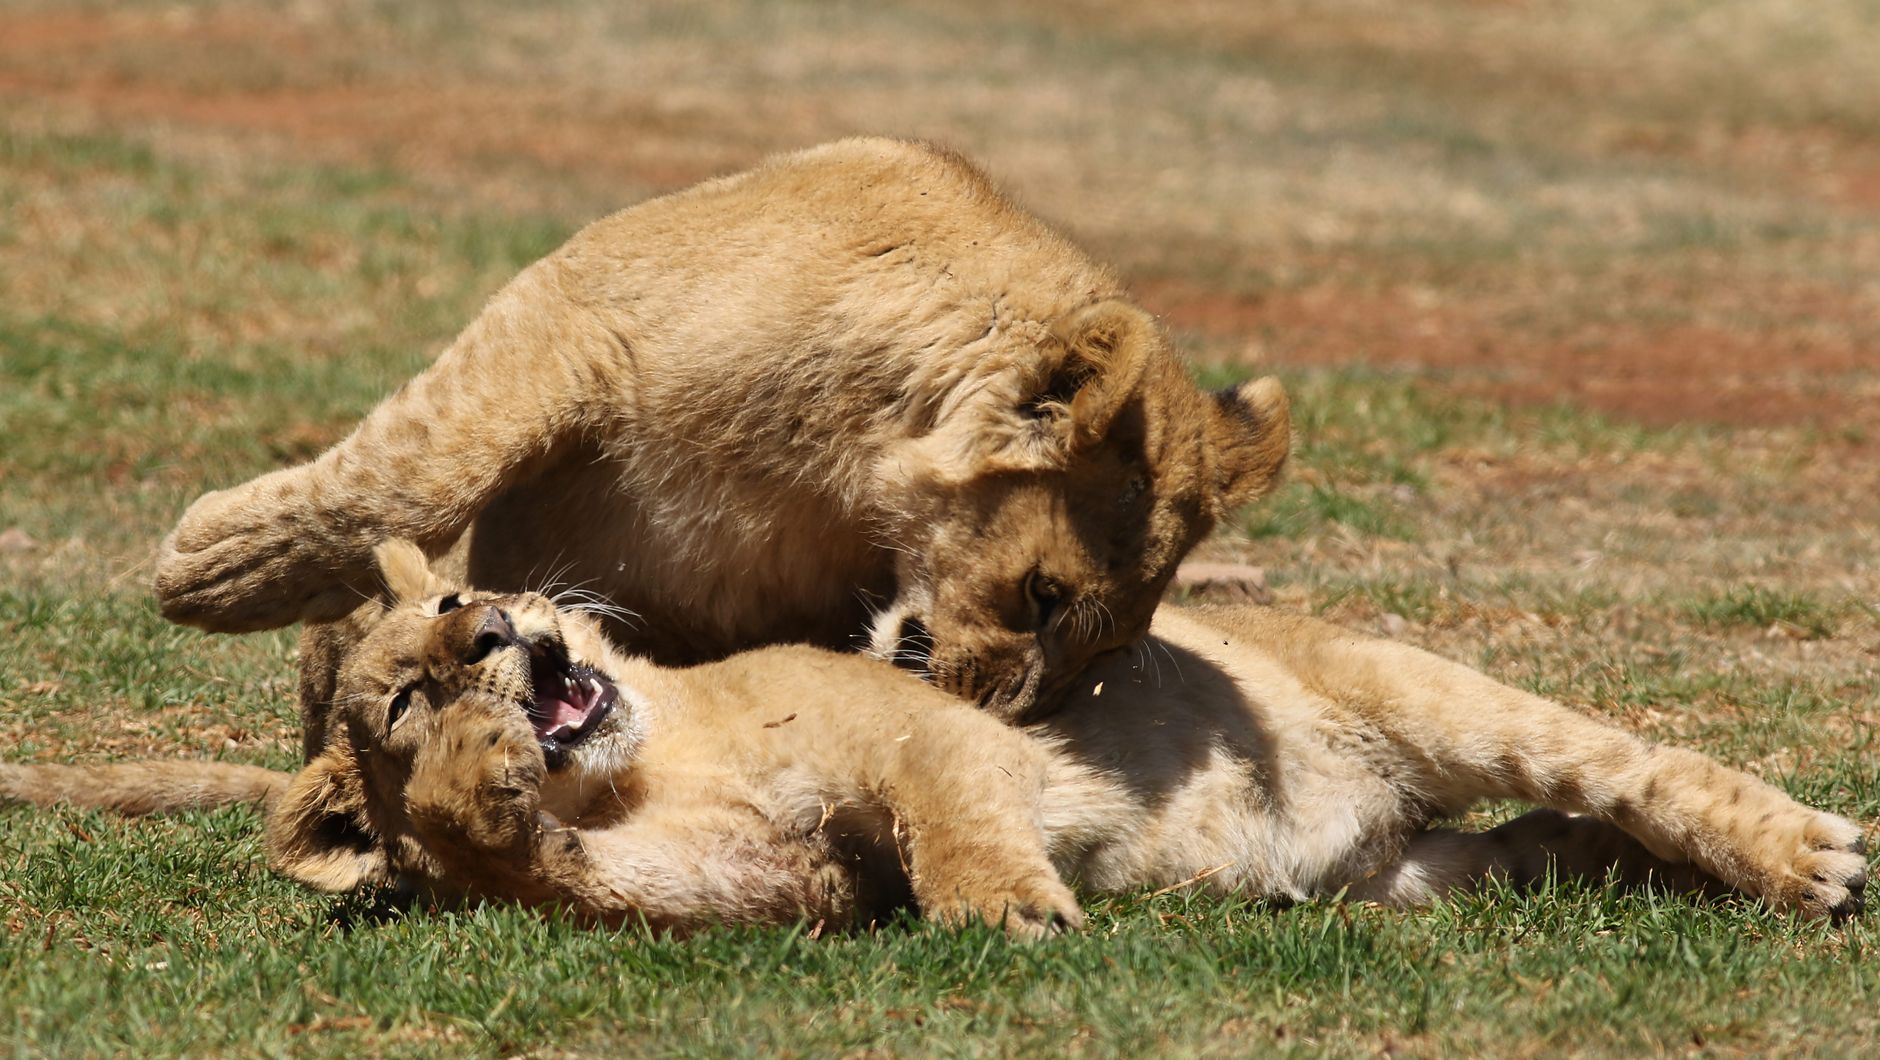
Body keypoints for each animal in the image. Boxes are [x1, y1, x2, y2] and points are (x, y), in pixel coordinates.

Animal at [151, 137, 1292, 725]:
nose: (1004, 718)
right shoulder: (577, 313)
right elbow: (427, 459)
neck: (847, 460)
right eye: (1042, 594)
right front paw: (210, 569)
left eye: (1105, 649)